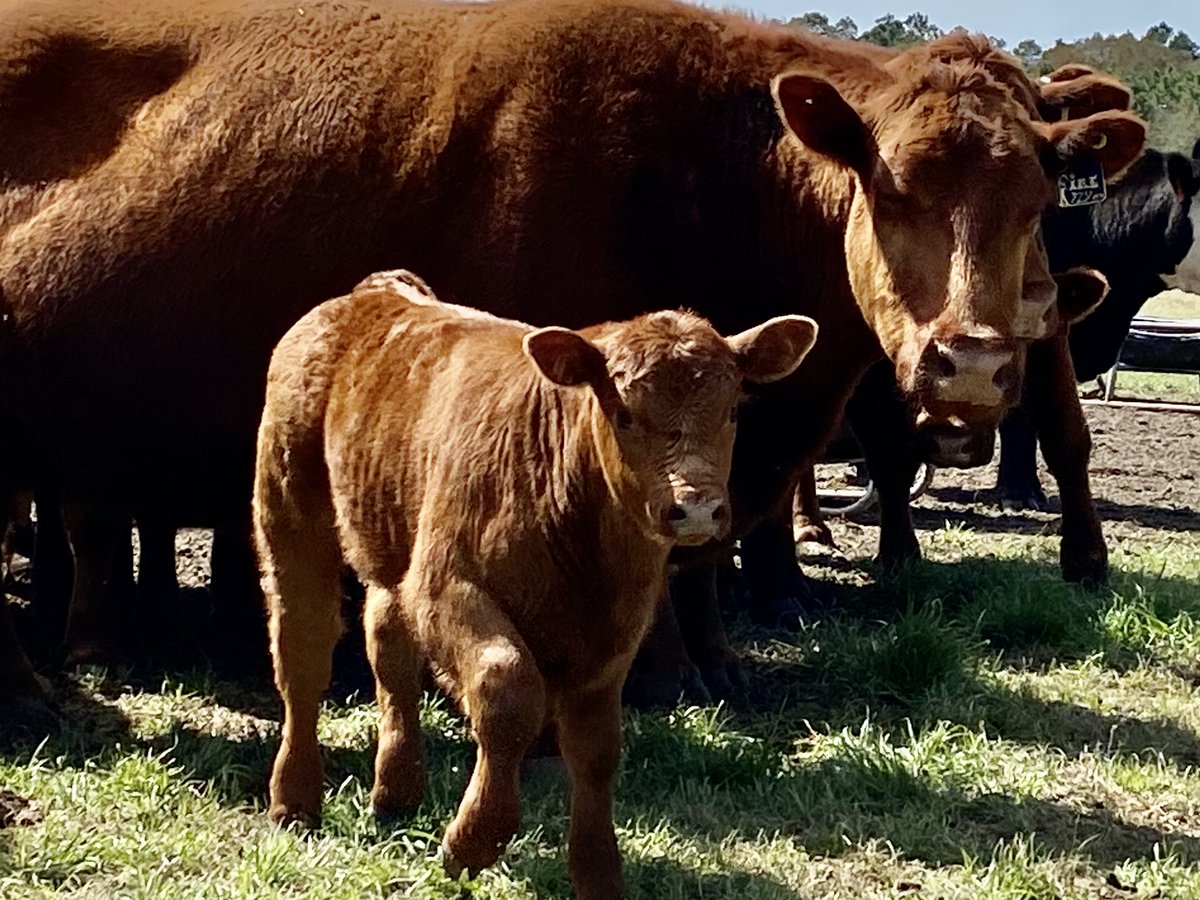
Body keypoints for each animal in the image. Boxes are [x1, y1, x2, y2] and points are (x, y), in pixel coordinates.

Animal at [0, 0, 1145, 702]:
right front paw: (666, 674)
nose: (974, 364)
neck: (705, 159)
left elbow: (704, 551)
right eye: (892, 184)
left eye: (1038, 196)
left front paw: (719, 664)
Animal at [254, 270, 817, 896]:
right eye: (622, 412)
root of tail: (375, 293)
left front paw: (598, 873)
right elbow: (507, 688)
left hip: (389, 540)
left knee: (388, 645)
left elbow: (596, 747)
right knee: (301, 653)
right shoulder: (447, 585)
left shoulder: (614, 632)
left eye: (733, 412)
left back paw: (395, 793)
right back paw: (294, 803)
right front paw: (472, 840)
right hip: (289, 511)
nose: (695, 509)